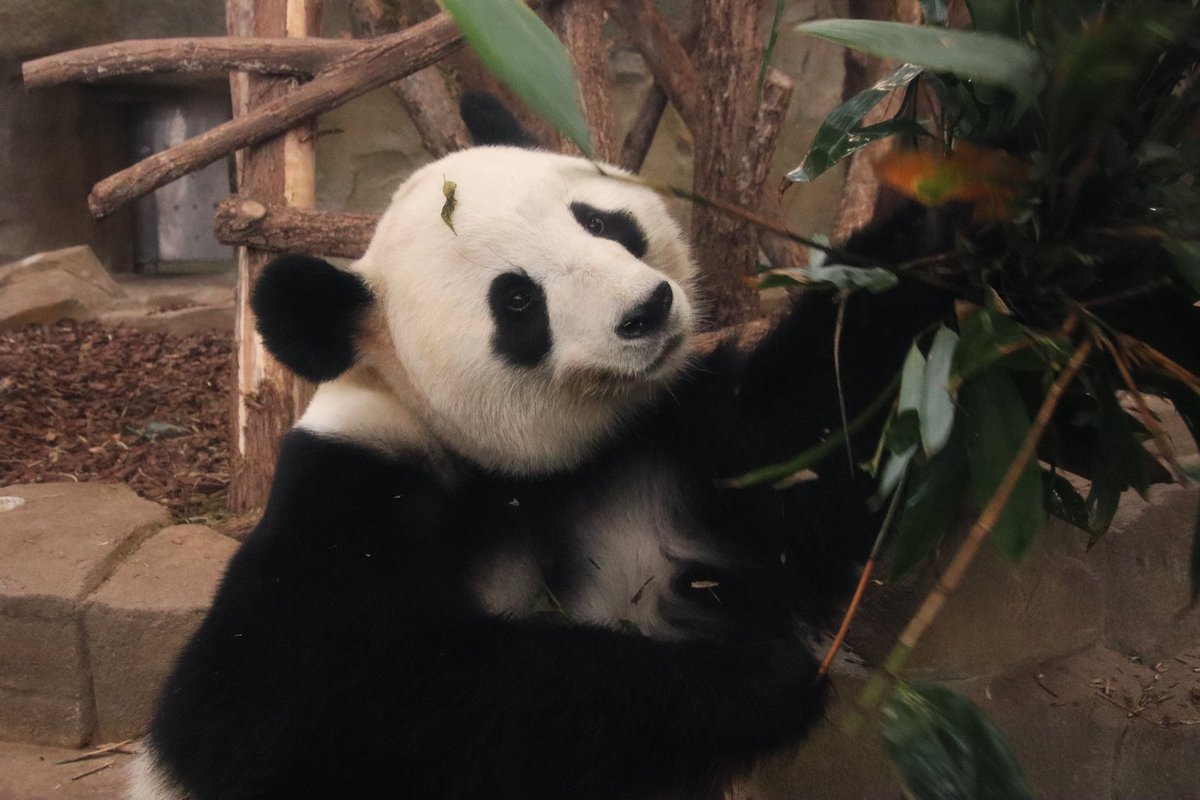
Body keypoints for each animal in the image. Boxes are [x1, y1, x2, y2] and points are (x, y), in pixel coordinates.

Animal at [129, 93, 950, 800]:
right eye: (518, 300)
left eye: (599, 221)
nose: (647, 310)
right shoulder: (345, 503)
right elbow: (361, 696)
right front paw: (756, 677)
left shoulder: (665, 446)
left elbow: (809, 453)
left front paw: (945, 228)